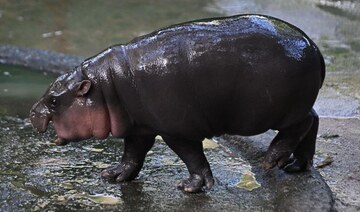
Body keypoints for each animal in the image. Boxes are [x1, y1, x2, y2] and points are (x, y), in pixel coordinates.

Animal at [29, 14, 324, 193]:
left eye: (54, 101)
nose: (32, 112)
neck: (105, 86)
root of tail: (314, 47)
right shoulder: (140, 126)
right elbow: (132, 153)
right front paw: (113, 175)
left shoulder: (176, 130)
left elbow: (192, 156)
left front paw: (191, 187)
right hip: (296, 105)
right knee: (314, 120)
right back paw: (296, 166)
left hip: (277, 111)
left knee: (301, 125)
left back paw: (271, 161)